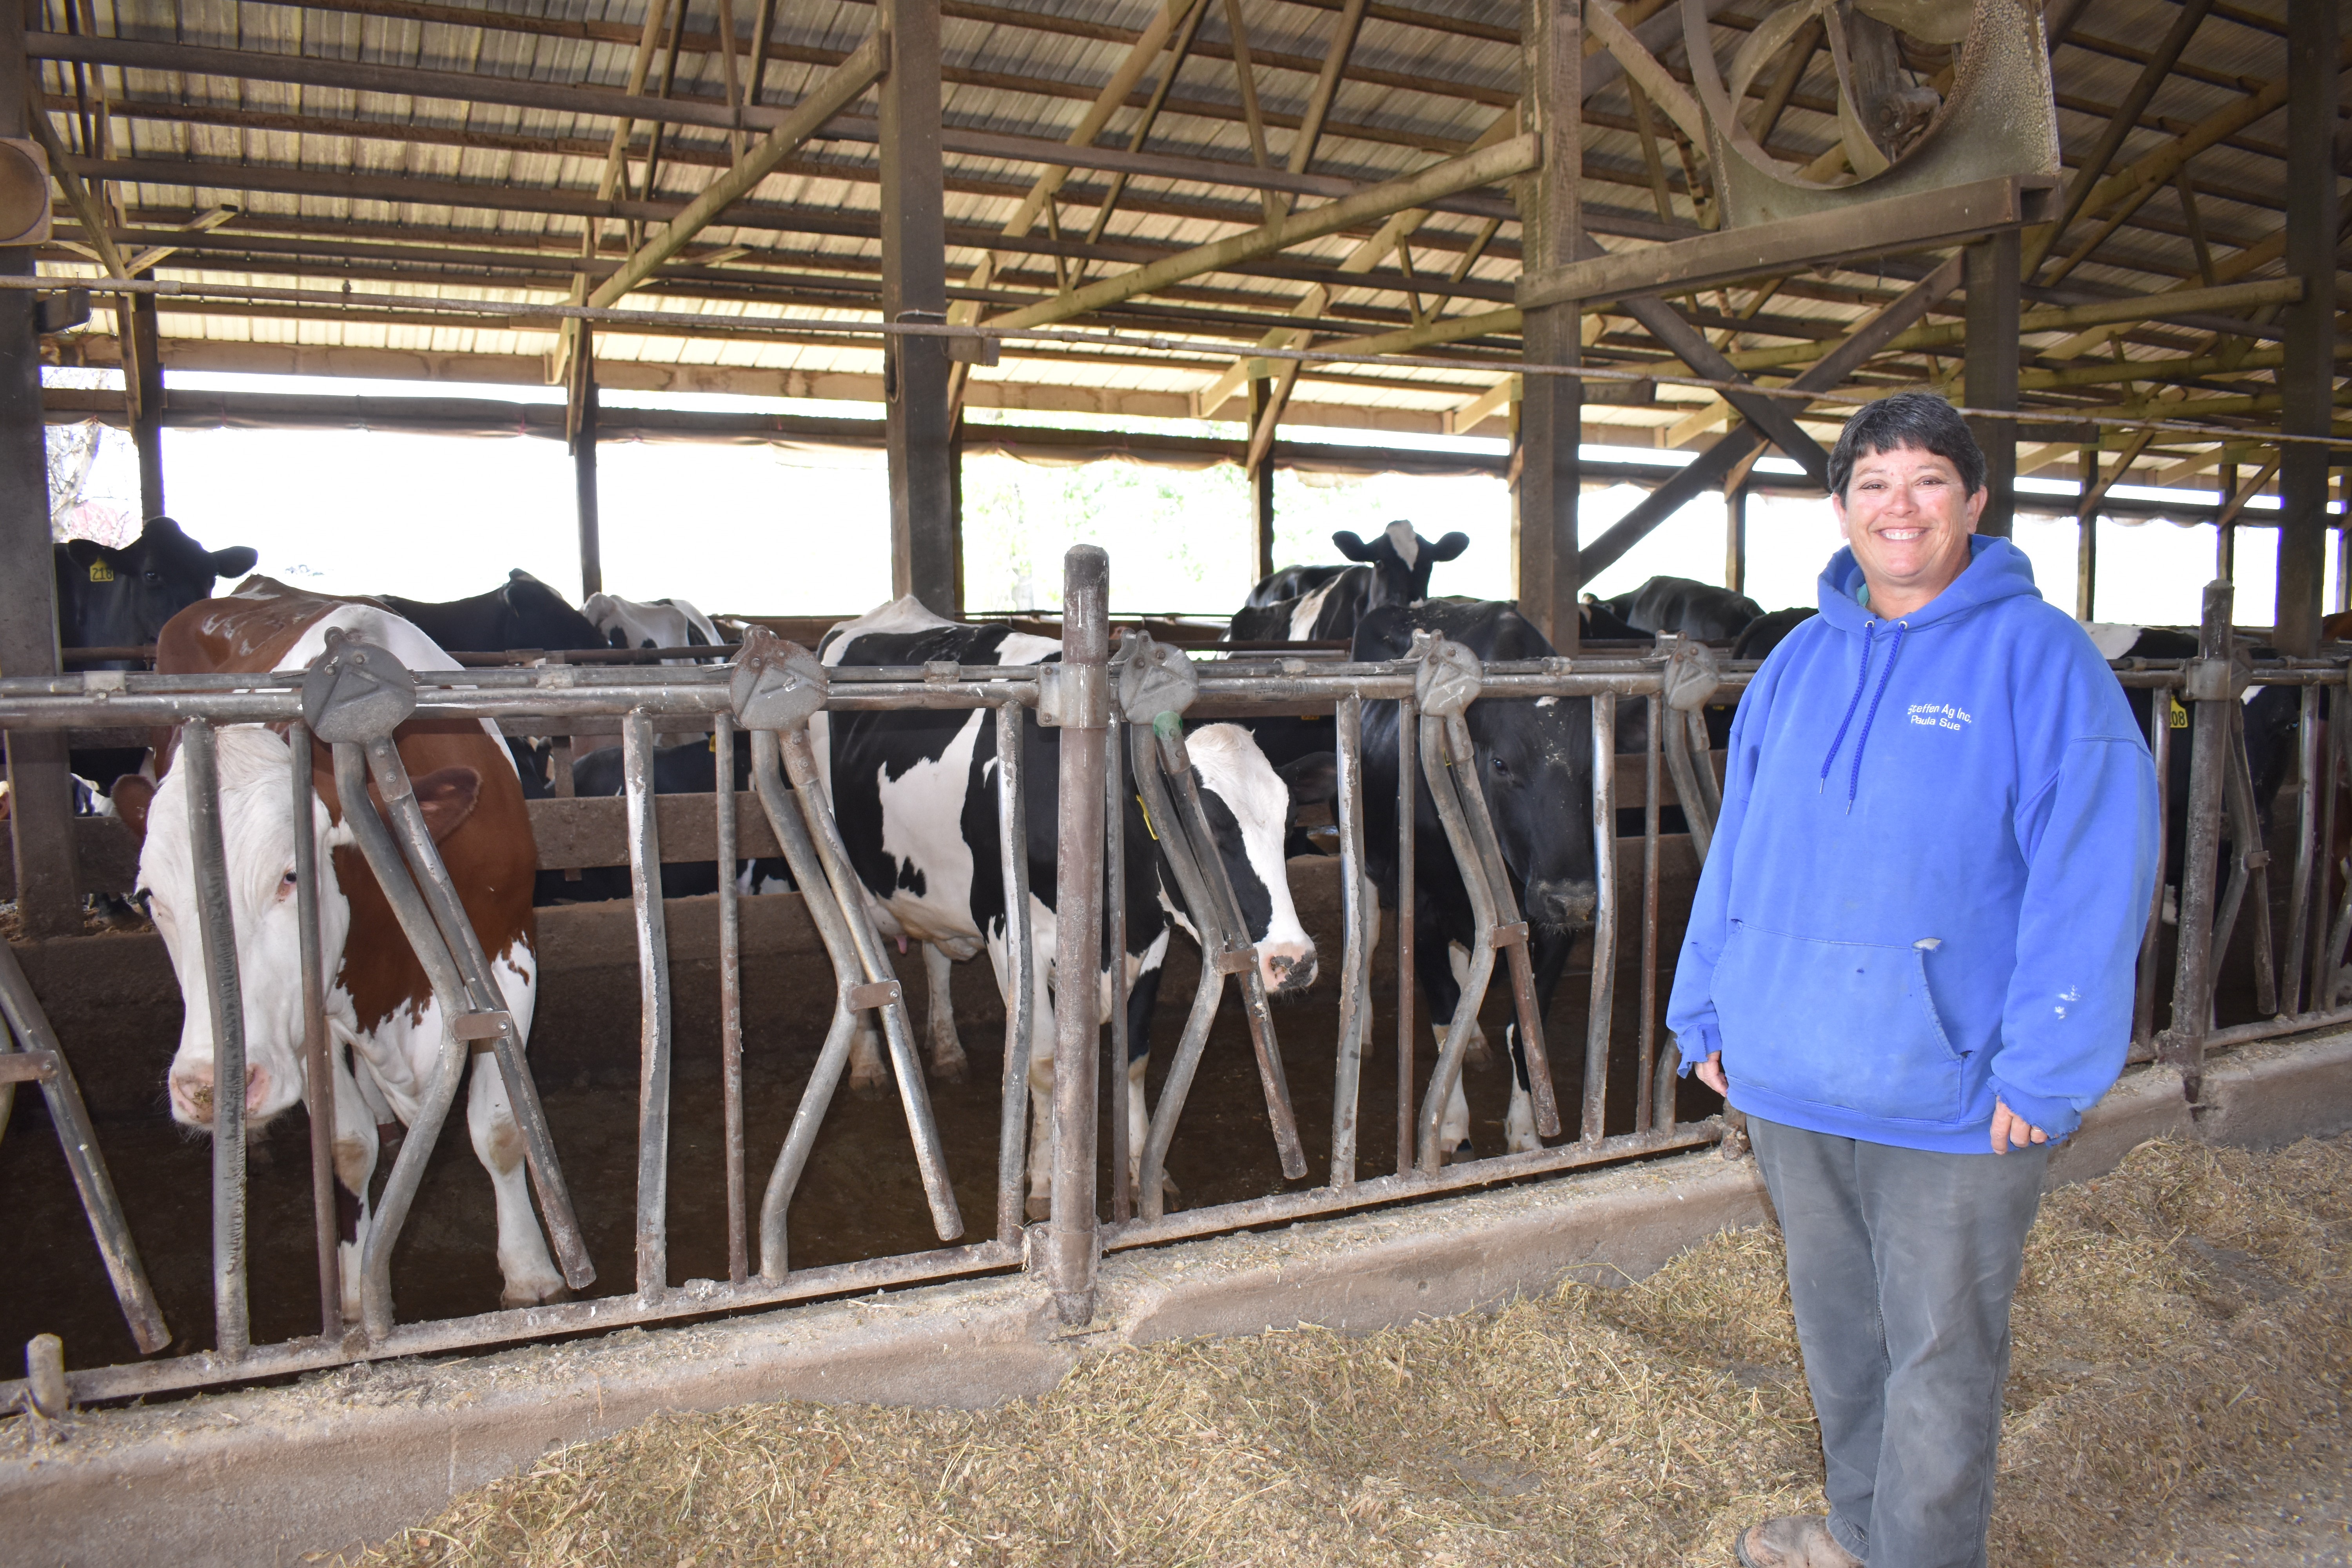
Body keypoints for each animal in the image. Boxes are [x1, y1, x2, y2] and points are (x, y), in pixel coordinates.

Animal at [113, 583, 564, 1316]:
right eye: (150, 895)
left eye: (290, 876)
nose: (207, 1087)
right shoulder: (310, 1016)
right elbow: (347, 1147)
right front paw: (356, 1287)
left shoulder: (510, 957)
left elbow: (499, 1128)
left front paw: (530, 1272)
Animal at [814, 595, 1336, 1222]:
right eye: (1205, 826)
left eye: (1288, 822)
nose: (1295, 961)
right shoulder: (1011, 933)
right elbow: (1042, 1065)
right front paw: (1043, 1186)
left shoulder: (1149, 938)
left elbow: (1134, 1059)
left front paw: (1143, 1173)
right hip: (838, 868)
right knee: (855, 956)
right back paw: (869, 1066)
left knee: (936, 957)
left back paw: (947, 1052)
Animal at [1364, 595, 1599, 1161]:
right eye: (1500, 763)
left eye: (1593, 769)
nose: (1572, 899)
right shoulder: (1422, 910)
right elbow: (1445, 1014)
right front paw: (1451, 1130)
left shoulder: (1553, 926)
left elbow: (1525, 1026)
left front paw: (1528, 1132)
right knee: (1369, 937)